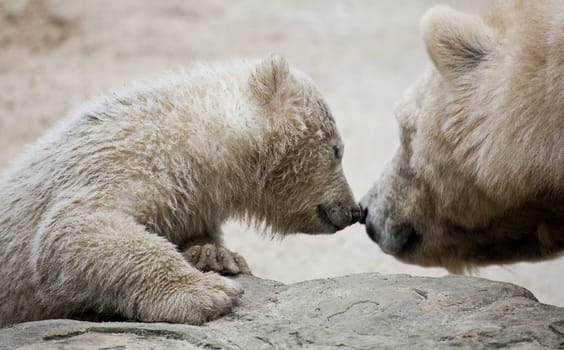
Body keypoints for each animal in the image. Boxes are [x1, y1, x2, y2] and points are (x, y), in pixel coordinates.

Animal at [0, 55, 362, 328]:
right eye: (336, 150)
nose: (354, 210)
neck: (191, 135)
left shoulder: (189, 195)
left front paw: (217, 256)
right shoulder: (119, 160)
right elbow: (73, 229)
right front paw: (208, 292)